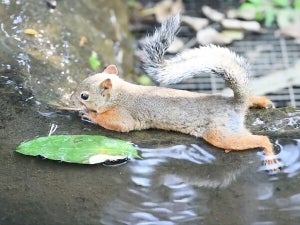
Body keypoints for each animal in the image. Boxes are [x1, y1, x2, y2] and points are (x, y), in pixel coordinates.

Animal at [71, 13, 278, 162]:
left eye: (84, 96)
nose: (71, 98)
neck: (119, 95)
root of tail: (236, 104)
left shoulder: (124, 115)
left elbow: (118, 125)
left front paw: (89, 115)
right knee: (251, 100)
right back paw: (263, 102)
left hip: (220, 132)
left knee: (258, 139)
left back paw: (269, 154)